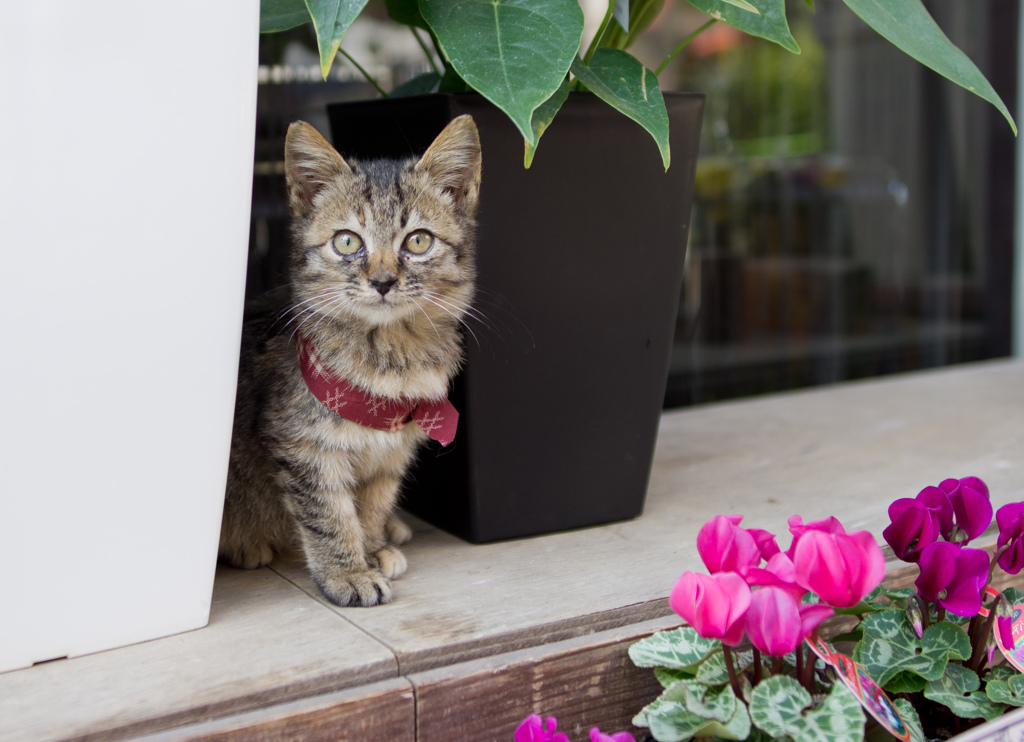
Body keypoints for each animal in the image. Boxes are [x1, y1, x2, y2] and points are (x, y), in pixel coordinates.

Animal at [218, 114, 481, 601]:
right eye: (346, 242)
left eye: (418, 241)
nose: (382, 280)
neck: (391, 354)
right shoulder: (304, 446)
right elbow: (330, 514)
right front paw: (348, 572)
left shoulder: (391, 453)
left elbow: (372, 503)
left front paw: (372, 546)